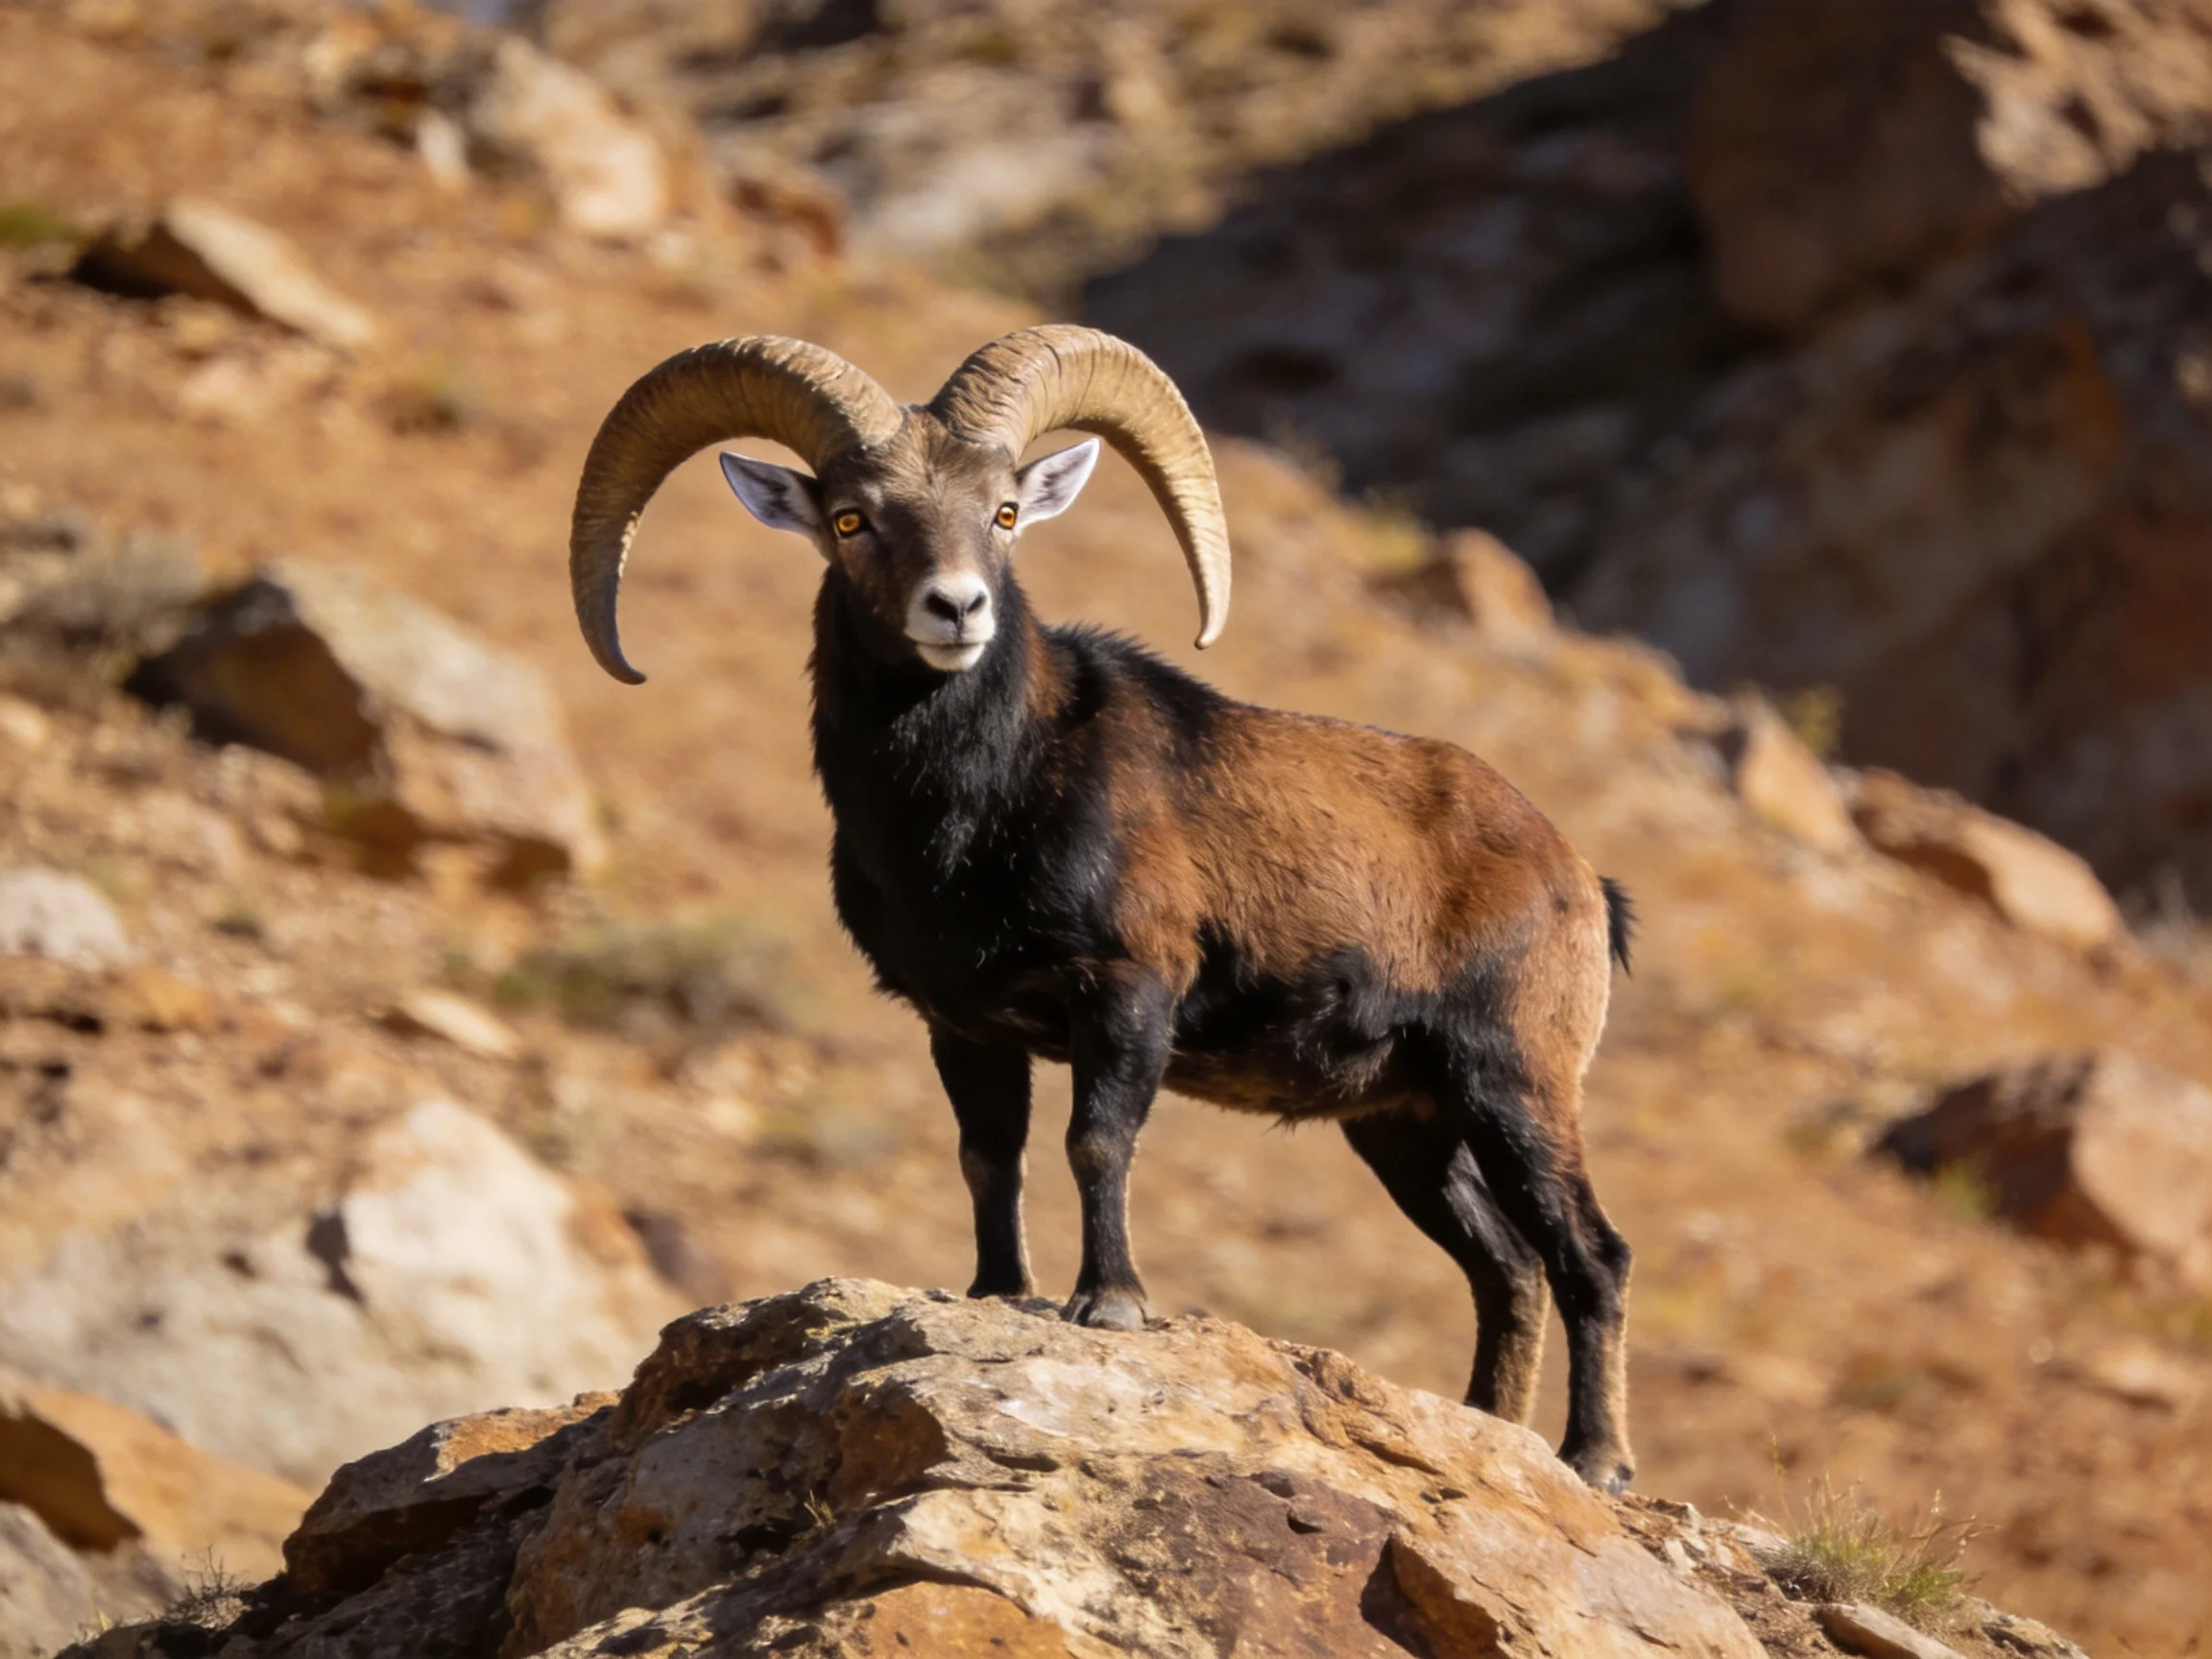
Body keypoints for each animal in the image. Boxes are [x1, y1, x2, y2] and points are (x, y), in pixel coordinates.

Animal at [568, 326, 1637, 1491]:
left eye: (1002, 512)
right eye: (852, 519)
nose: (956, 609)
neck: (979, 811)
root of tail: (1581, 880)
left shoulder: (1125, 995)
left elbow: (1098, 1142)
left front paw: (1110, 1303)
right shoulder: (964, 1027)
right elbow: (990, 1157)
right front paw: (998, 1292)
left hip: (1515, 1088)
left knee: (1590, 1256)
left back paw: (1596, 1461)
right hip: (1409, 1129)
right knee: (1508, 1270)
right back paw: (1493, 1429)